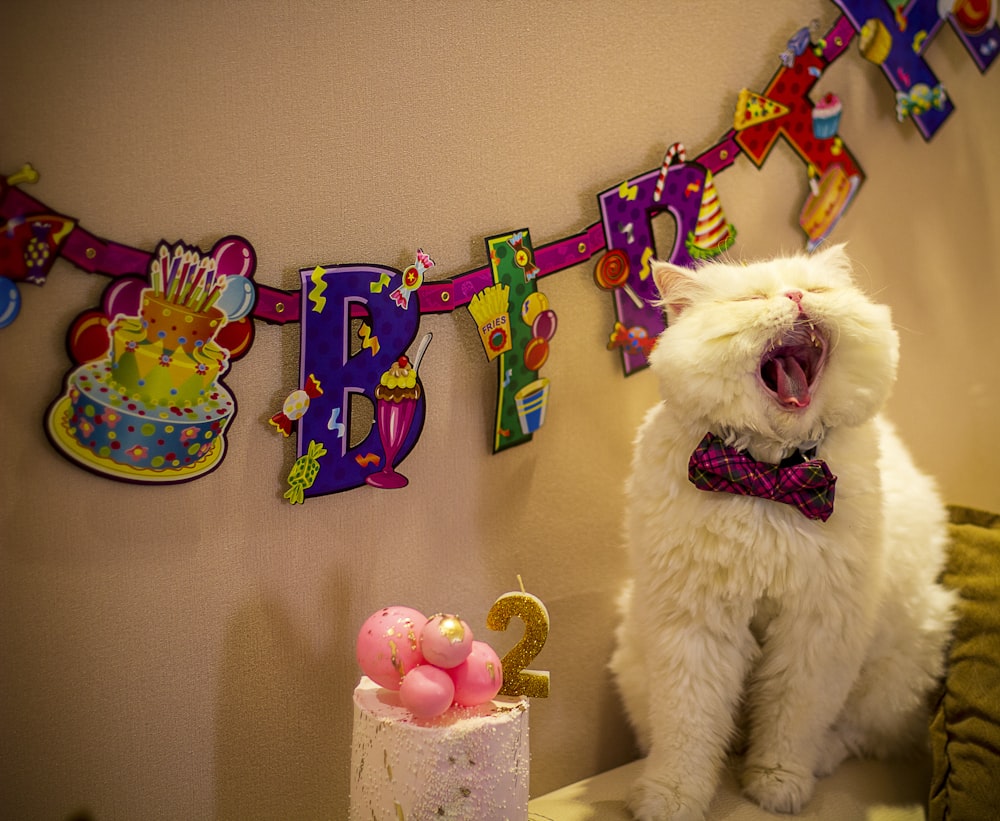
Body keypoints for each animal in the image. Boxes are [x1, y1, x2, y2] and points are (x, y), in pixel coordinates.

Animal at [608, 245, 952, 820]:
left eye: (815, 290)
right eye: (752, 299)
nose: (794, 297)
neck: (769, 475)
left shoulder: (816, 630)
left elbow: (792, 722)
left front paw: (774, 785)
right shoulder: (695, 628)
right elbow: (687, 733)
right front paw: (668, 799)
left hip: (900, 660)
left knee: (855, 734)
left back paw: (816, 763)